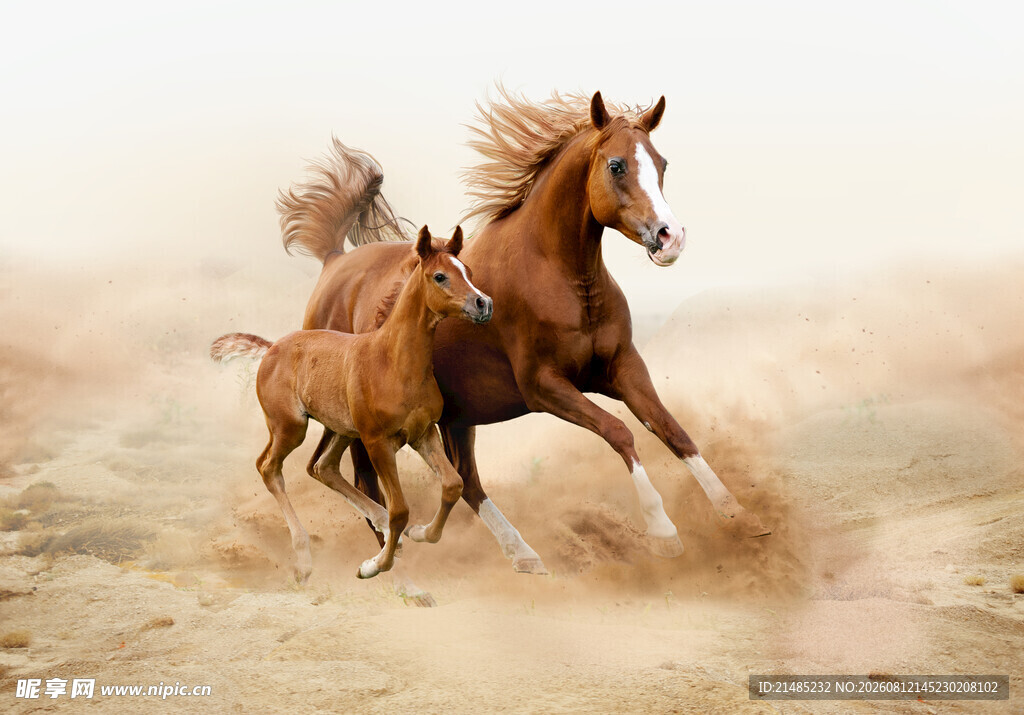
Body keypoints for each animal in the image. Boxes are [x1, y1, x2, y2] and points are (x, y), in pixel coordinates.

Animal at [211, 226, 492, 582]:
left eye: (467, 271)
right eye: (440, 276)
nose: (484, 303)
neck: (393, 363)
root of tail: (272, 347)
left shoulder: (423, 434)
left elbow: (453, 485)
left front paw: (419, 534)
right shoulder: (377, 442)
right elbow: (400, 509)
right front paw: (373, 566)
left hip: (341, 429)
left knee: (322, 467)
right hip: (291, 427)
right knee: (269, 467)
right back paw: (304, 559)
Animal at [278, 88, 770, 596]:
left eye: (662, 163)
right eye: (616, 165)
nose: (670, 238)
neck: (560, 275)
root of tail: (334, 262)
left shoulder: (623, 368)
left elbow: (672, 430)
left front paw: (740, 515)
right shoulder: (544, 386)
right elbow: (620, 432)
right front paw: (663, 532)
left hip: (456, 416)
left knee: (465, 480)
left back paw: (522, 555)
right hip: (366, 424)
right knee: (364, 483)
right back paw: (401, 577)